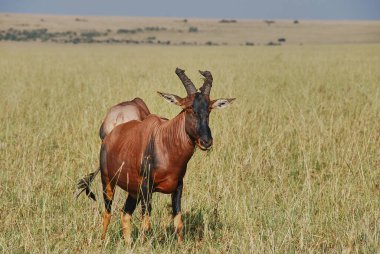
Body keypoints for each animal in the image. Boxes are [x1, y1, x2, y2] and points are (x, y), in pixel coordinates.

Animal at [77, 67, 235, 244]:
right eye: (188, 108)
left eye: (209, 109)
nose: (206, 142)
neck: (165, 141)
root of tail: (110, 135)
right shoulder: (147, 188)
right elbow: (146, 224)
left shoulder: (178, 187)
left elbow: (178, 222)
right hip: (108, 182)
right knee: (107, 213)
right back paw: (102, 242)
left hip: (133, 191)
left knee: (125, 214)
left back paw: (128, 244)